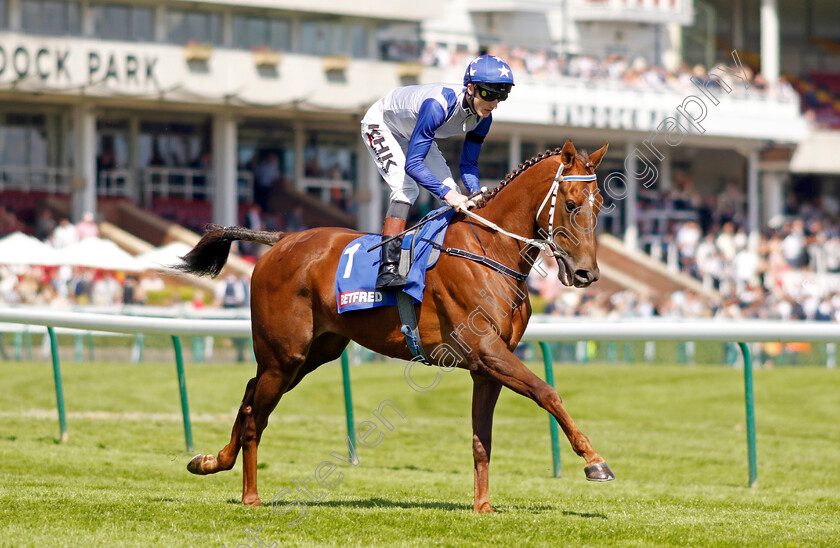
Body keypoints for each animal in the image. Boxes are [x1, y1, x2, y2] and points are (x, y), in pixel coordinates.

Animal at [179, 139, 612, 512]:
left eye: (601, 206)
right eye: (571, 204)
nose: (587, 274)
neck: (489, 250)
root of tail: (282, 238)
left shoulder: (487, 365)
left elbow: (481, 439)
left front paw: (482, 506)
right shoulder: (486, 350)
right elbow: (547, 392)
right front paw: (595, 461)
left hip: (314, 353)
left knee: (250, 395)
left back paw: (211, 461)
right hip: (284, 355)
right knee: (256, 412)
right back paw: (250, 496)